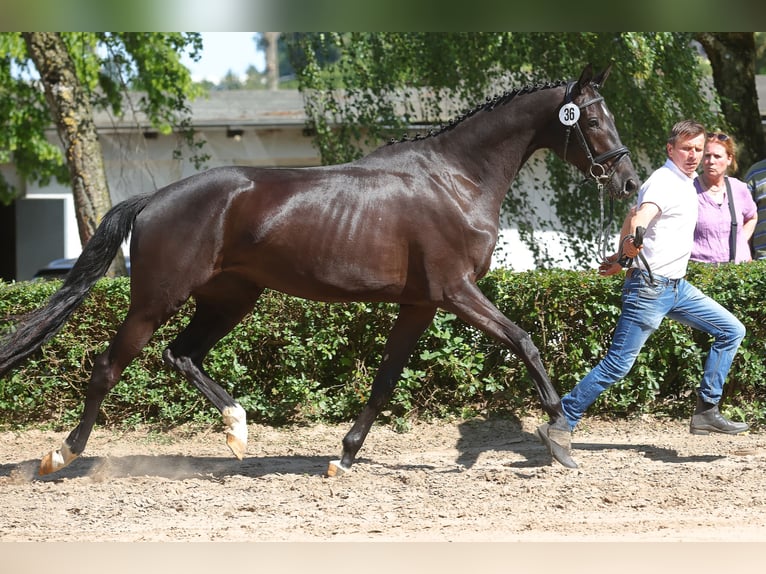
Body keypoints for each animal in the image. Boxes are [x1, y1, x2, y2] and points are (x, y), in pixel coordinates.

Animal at [0, 64, 636, 476]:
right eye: (593, 120)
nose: (629, 183)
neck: (455, 179)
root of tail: (154, 199)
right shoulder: (457, 291)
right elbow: (525, 341)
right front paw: (559, 438)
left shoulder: (421, 303)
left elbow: (384, 381)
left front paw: (344, 455)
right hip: (156, 300)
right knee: (108, 367)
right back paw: (60, 454)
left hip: (231, 298)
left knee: (181, 354)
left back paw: (237, 430)